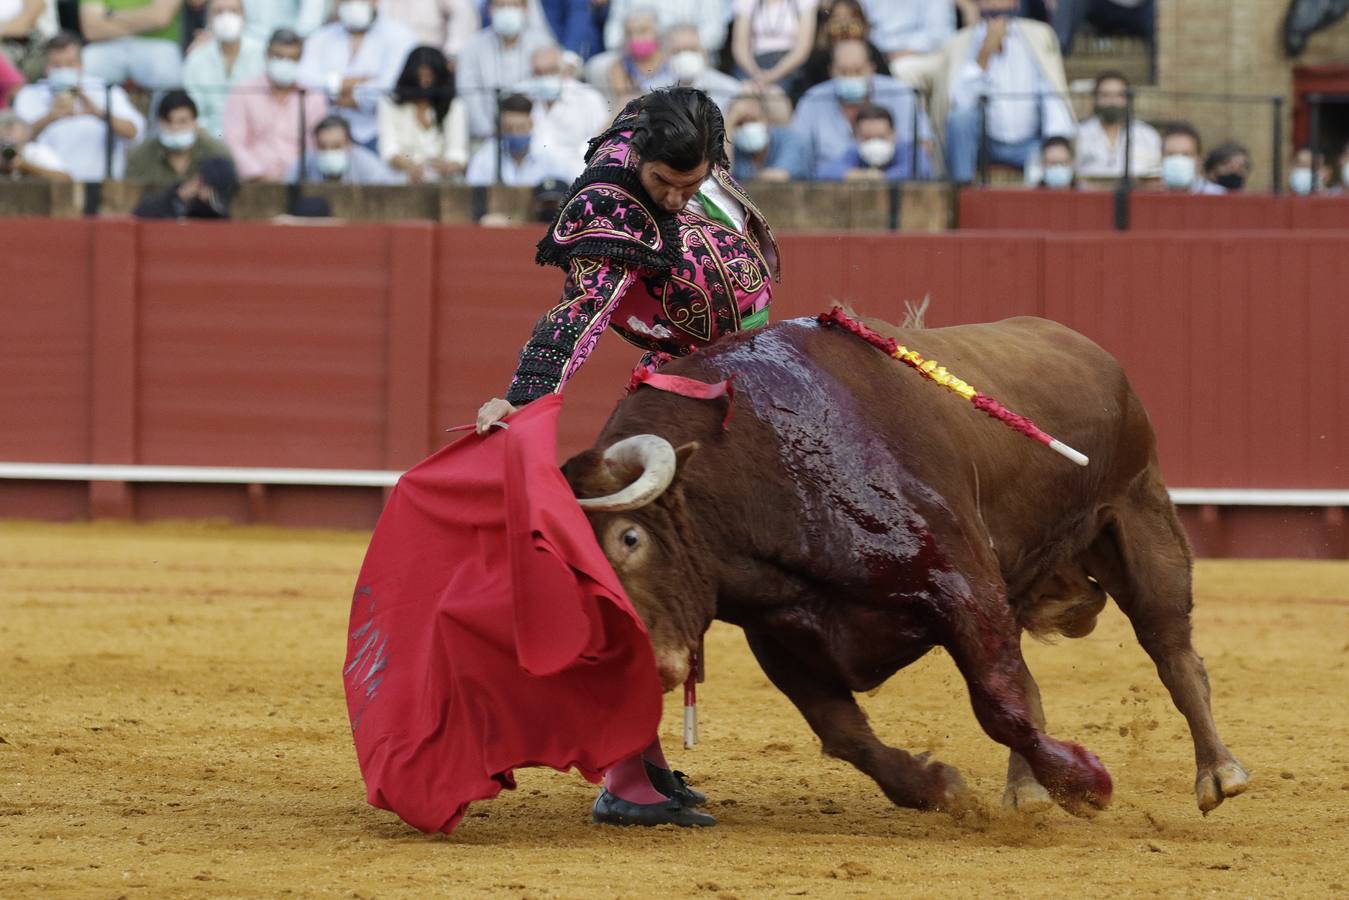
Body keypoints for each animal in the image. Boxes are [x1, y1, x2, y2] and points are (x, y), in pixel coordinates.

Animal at [563, 315, 1246, 814]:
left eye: (629, 538)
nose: (623, 667)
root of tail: (1090, 350)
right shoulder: (781, 634)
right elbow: (847, 734)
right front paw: (936, 786)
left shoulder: (964, 587)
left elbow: (1001, 706)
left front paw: (1086, 784)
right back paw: (1026, 793)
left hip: (1139, 513)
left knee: (1172, 651)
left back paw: (1219, 774)